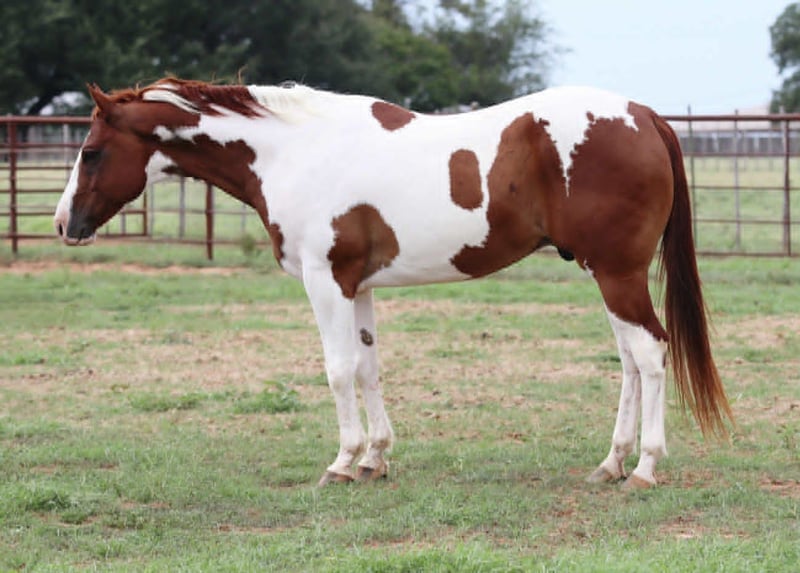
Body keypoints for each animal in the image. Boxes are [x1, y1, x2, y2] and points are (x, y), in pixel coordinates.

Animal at [54, 77, 732, 489]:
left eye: (90, 150)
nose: (64, 223)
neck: (295, 153)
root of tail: (644, 116)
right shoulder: (359, 287)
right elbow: (367, 367)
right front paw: (376, 458)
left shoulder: (325, 281)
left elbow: (336, 371)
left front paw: (341, 462)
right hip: (605, 273)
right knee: (630, 360)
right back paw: (611, 463)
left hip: (617, 273)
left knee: (650, 353)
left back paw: (644, 467)